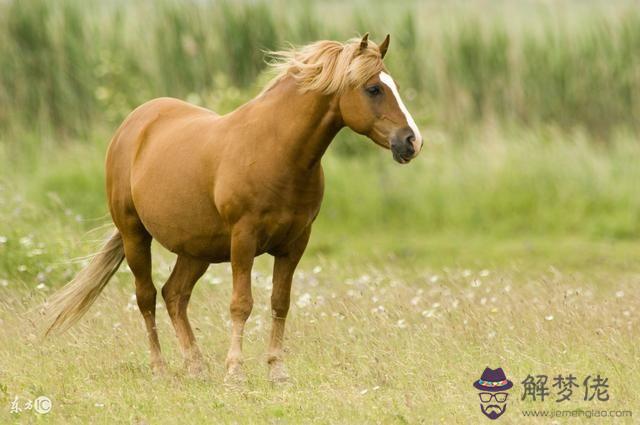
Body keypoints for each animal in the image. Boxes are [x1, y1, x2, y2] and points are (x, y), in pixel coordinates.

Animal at [43, 34, 424, 380]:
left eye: (394, 85)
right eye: (373, 89)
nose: (412, 141)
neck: (277, 150)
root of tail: (134, 124)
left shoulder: (295, 243)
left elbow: (280, 303)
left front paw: (276, 369)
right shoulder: (244, 238)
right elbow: (241, 304)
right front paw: (235, 370)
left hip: (196, 249)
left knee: (174, 295)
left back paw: (195, 365)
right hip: (135, 235)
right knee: (147, 296)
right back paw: (160, 368)